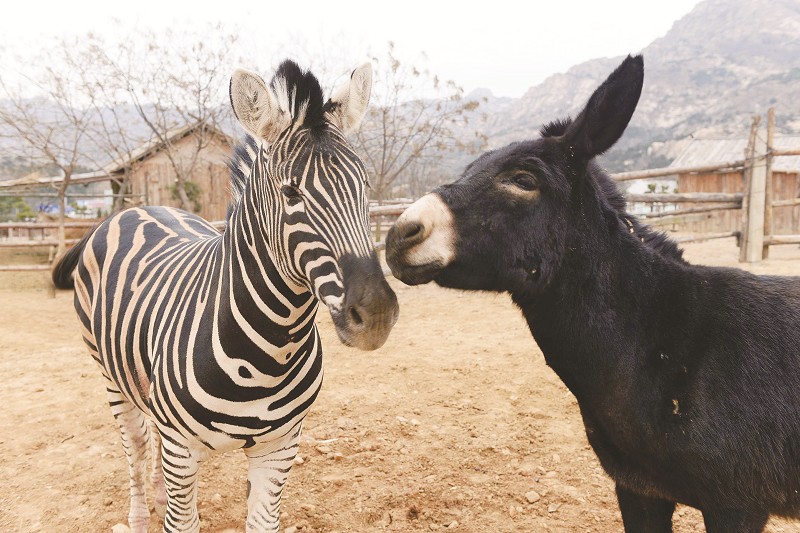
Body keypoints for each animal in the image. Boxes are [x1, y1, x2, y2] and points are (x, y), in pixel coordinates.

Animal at [50, 60, 400, 528]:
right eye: (291, 192)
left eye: (365, 186)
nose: (376, 313)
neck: (270, 352)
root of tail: (133, 209)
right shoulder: (182, 449)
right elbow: (181, 520)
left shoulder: (281, 447)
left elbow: (263, 521)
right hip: (111, 378)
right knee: (136, 451)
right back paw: (141, 515)